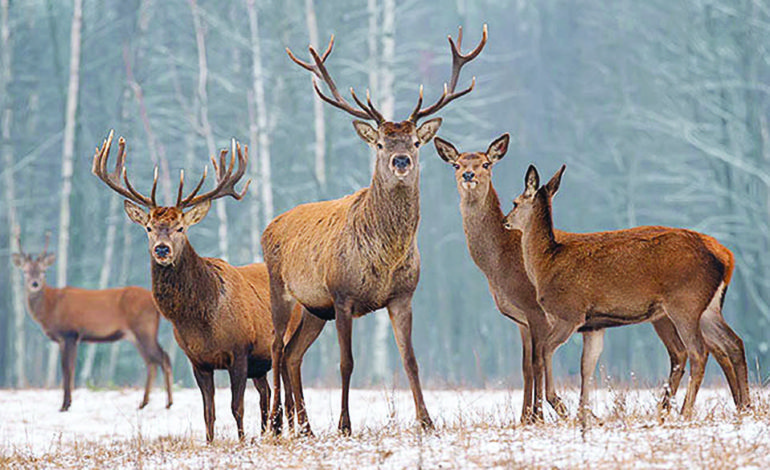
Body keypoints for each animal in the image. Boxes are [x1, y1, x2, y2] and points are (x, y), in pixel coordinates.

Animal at [11, 231, 172, 412]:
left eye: (43, 271)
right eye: (25, 271)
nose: (35, 283)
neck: (51, 307)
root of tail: (155, 303)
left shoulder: (70, 333)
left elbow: (68, 369)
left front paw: (65, 405)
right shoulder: (65, 339)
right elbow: (69, 368)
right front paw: (68, 403)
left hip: (144, 328)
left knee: (163, 357)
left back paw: (168, 402)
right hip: (135, 335)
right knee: (151, 362)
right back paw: (144, 403)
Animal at [91, 130, 302, 442]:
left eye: (181, 227)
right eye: (149, 228)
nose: (162, 249)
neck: (201, 321)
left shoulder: (240, 351)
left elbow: (236, 407)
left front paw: (241, 441)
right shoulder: (197, 361)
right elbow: (208, 412)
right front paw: (212, 442)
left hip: (282, 342)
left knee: (284, 391)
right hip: (260, 363)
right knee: (265, 393)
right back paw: (266, 432)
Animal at [432, 133, 688, 422]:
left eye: (486, 163)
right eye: (456, 164)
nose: (468, 174)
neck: (500, 265)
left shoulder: (536, 310)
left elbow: (537, 362)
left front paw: (538, 416)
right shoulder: (521, 319)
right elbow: (525, 365)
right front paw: (525, 417)